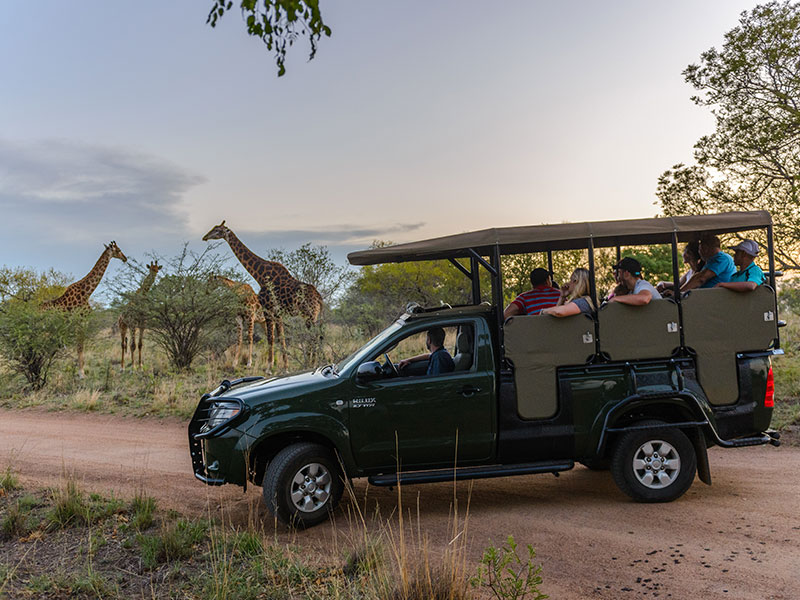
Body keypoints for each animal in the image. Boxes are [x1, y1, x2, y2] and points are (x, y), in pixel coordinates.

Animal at [42, 241, 129, 378]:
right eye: (119, 250)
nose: (125, 258)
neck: (87, 292)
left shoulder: (82, 322)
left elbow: (80, 346)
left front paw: (81, 372)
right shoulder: (80, 321)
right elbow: (80, 346)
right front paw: (81, 373)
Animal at [202, 221, 324, 370]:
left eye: (217, 230)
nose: (204, 237)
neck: (260, 275)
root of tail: (320, 299)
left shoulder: (268, 310)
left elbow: (270, 338)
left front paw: (269, 367)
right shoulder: (276, 313)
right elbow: (279, 338)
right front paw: (283, 366)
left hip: (310, 314)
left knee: (314, 336)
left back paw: (313, 363)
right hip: (311, 315)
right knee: (314, 335)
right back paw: (313, 362)